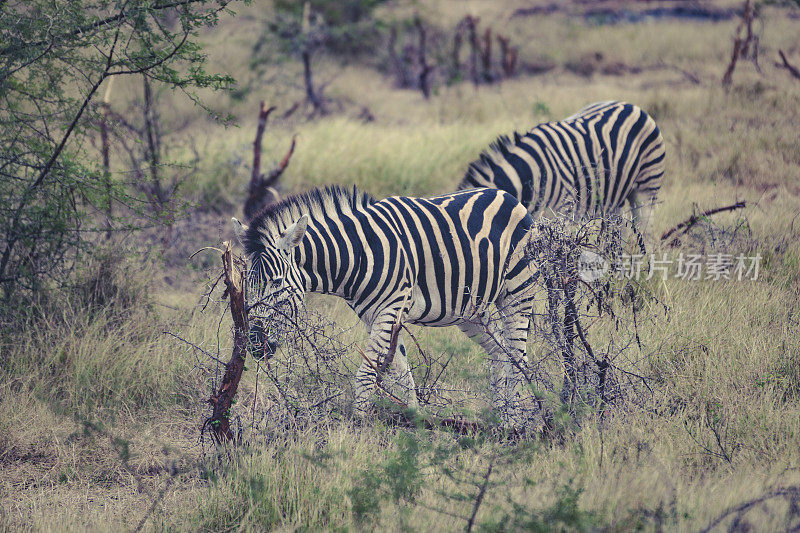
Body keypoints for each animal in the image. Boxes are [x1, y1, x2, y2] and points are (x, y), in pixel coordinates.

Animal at [234, 185, 540, 426]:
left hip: (517, 292)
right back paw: (500, 417)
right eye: (248, 284)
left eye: (276, 282)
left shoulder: (389, 309)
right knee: (501, 353)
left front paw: (356, 427)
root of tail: (508, 196)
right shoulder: (375, 316)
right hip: (471, 311)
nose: (255, 345)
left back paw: (513, 424)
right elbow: (401, 374)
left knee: (518, 358)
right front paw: (416, 423)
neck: (357, 255)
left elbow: (367, 373)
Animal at [460, 100, 664, 233]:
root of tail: (630, 105)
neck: (527, 176)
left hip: (647, 188)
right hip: (614, 197)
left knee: (646, 231)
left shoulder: (559, 217)